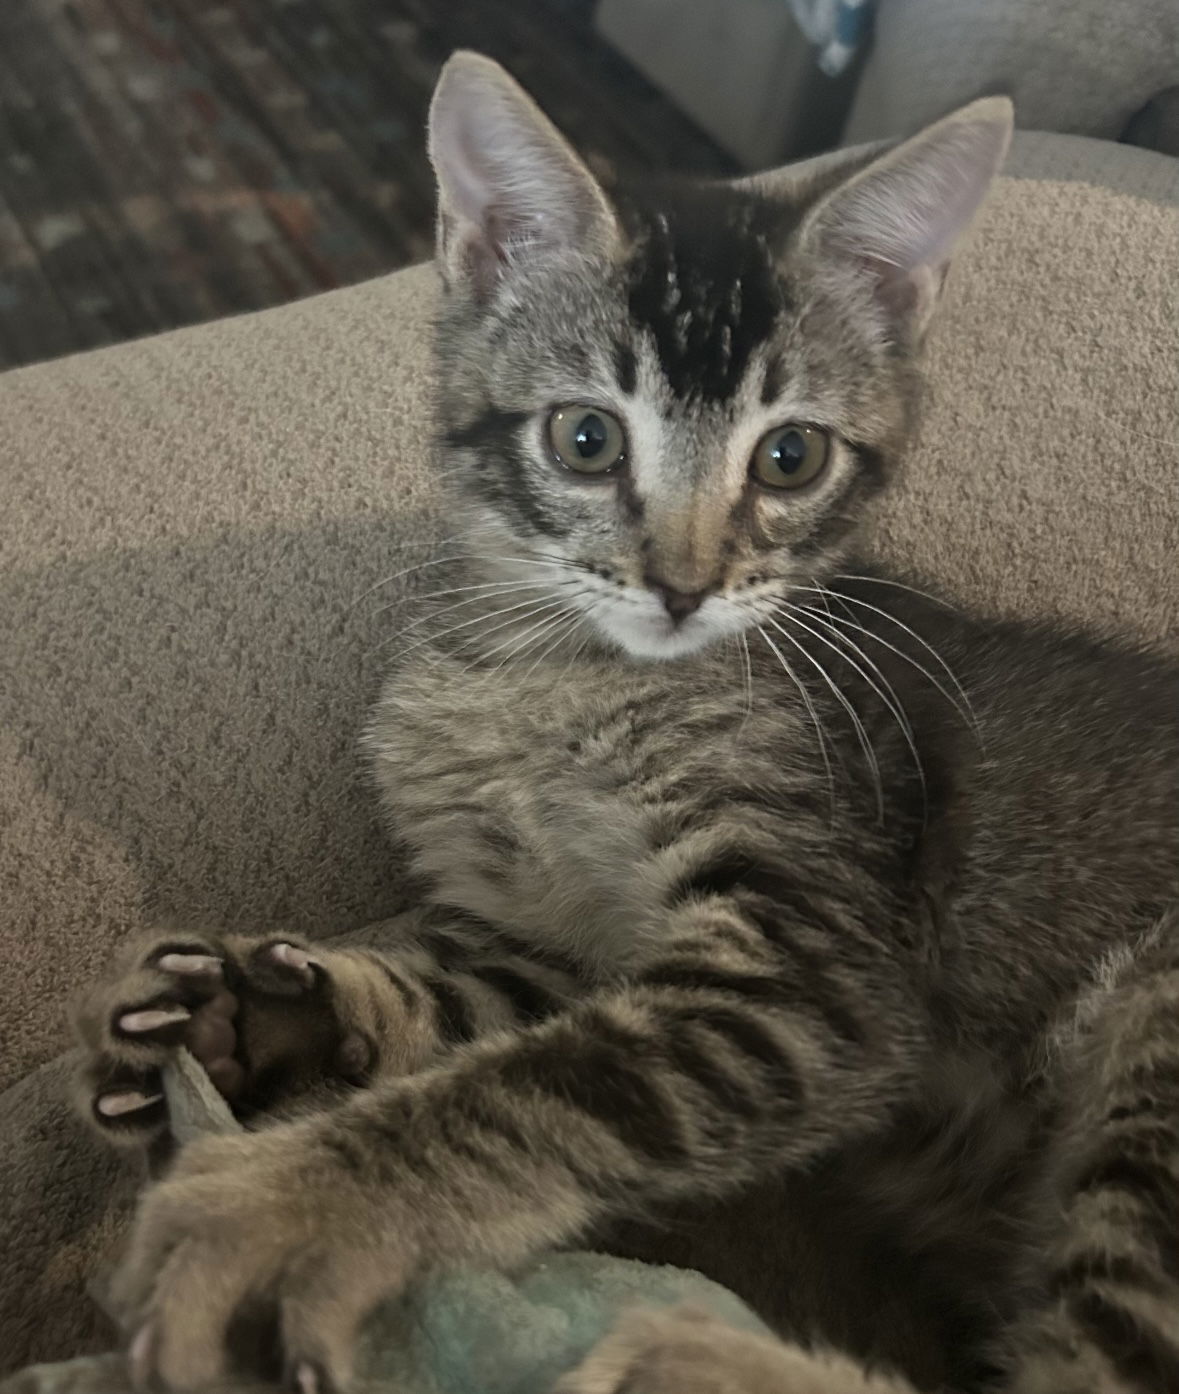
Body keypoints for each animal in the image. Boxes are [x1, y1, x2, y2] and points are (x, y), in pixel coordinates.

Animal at [73, 49, 1179, 1394]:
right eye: (586, 435)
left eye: (792, 456)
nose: (683, 584)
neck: (556, 678)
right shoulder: (543, 939)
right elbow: (466, 998)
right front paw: (255, 1006)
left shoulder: (814, 977)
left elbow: (546, 1085)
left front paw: (285, 1208)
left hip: (1160, 1029)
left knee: (1103, 1365)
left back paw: (684, 1356)